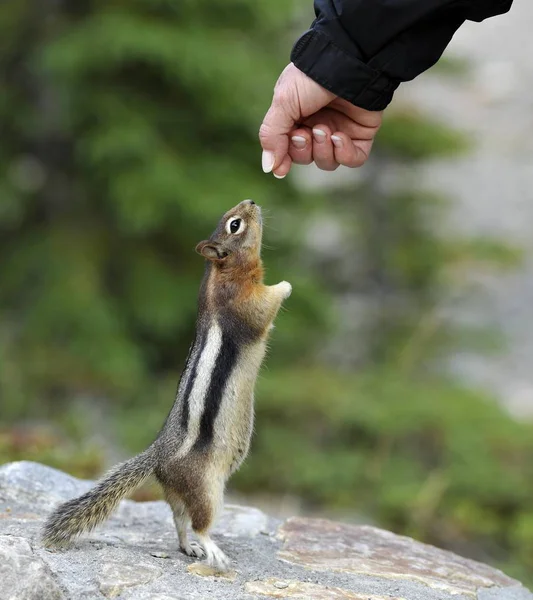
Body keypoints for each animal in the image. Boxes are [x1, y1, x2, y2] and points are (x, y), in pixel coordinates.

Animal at [41, 199, 290, 568]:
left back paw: (190, 548)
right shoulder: (244, 304)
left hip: (177, 494)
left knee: (178, 521)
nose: (251, 202)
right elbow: (266, 304)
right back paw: (212, 549)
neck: (219, 273)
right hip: (207, 490)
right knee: (199, 522)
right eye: (234, 225)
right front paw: (286, 285)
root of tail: (157, 455)